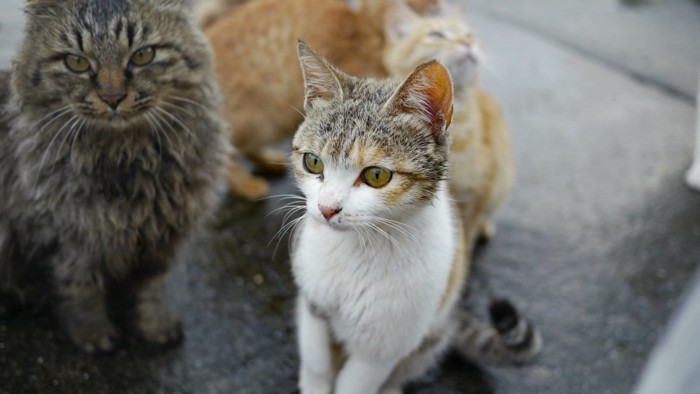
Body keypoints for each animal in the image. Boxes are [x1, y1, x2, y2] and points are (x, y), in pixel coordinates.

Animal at [0, 0, 228, 352]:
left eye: (143, 55)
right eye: (77, 62)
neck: (126, 158)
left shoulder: (162, 237)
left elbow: (150, 291)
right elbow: (80, 290)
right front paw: (92, 335)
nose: (112, 98)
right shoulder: (70, 239)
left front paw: (154, 327)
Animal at [290, 42, 540, 394]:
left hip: (428, 337)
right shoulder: (313, 304)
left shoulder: (385, 345)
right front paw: (314, 381)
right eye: (313, 162)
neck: (359, 250)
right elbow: (315, 361)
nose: (327, 208)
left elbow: (357, 384)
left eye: (376, 175)